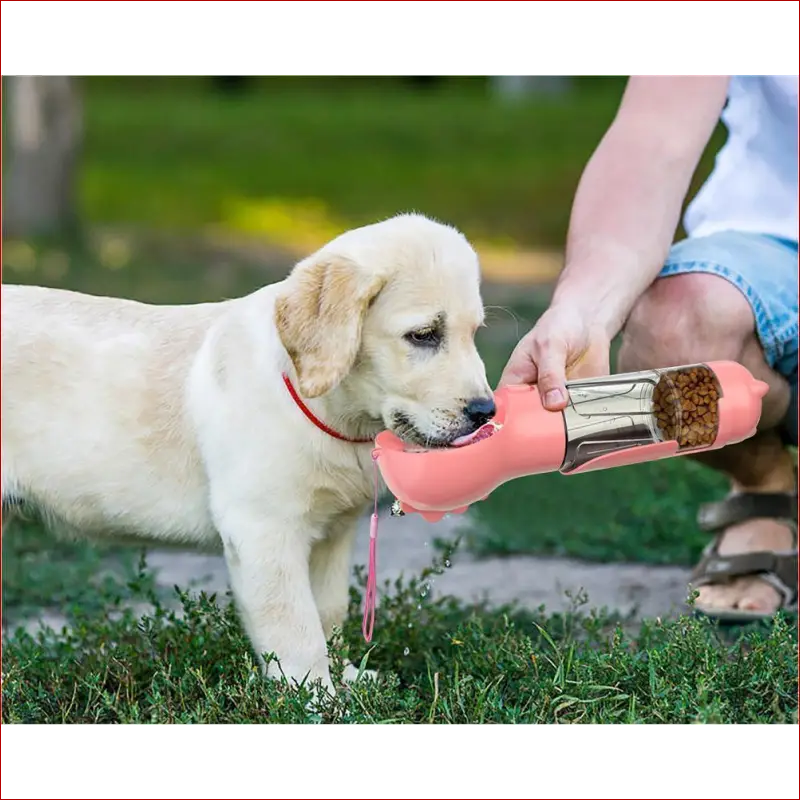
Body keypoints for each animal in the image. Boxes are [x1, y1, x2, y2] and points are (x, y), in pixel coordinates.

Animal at [0, 212, 494, 692]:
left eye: (474, 333)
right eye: (424, 335)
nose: (486, 412)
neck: (328, 411)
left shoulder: (333, 533)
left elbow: (329, 613)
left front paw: (347, 679)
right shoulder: (264, 530)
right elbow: (297, 629)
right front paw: (317, 698)